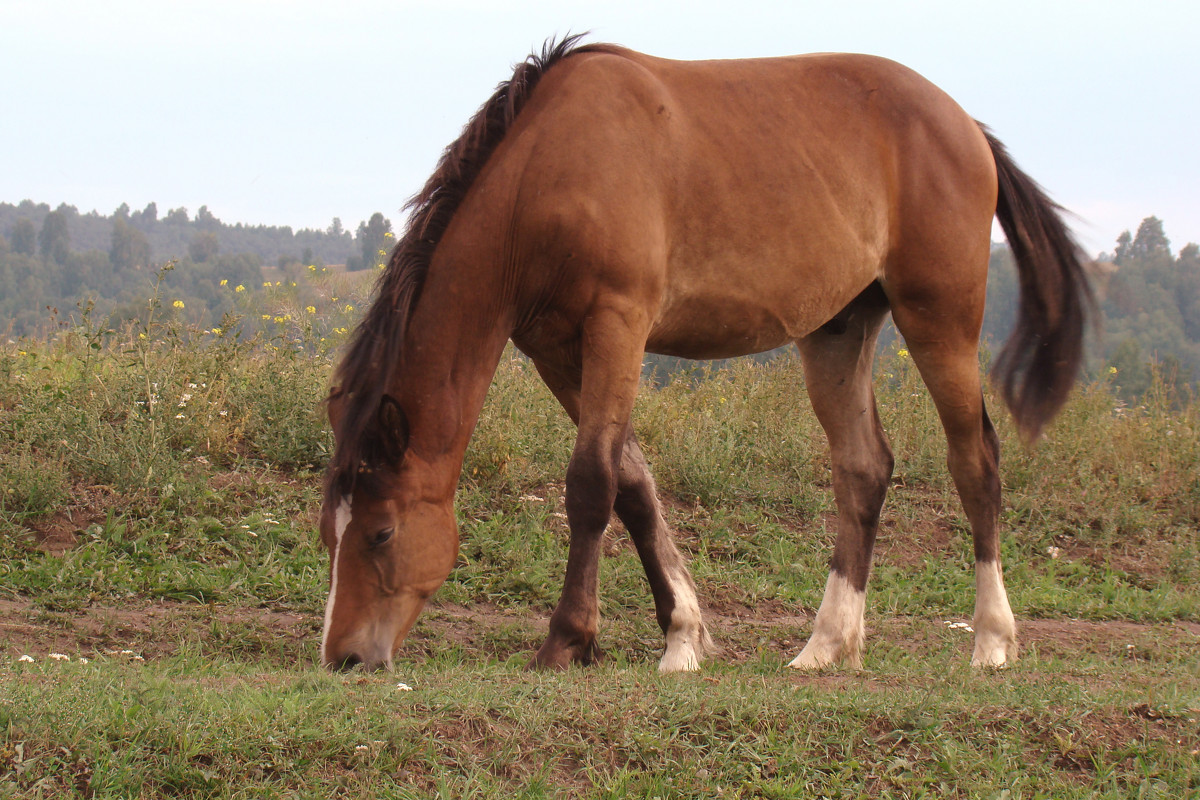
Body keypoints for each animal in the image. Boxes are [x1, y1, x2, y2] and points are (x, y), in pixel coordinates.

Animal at [314, 37, 1094, 676]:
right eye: (330, 533)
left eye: (381, 532)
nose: (344, 657)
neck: (549, 169)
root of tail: (966, 126)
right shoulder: (556, 349)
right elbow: (633, 483)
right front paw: (681, 635)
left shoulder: (618, 325)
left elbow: (591, 481)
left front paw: (568, 640)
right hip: (838, 332)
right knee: (863, 470)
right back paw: (826, 645)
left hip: (940, 322)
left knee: (975, 461)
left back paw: (991, 641)